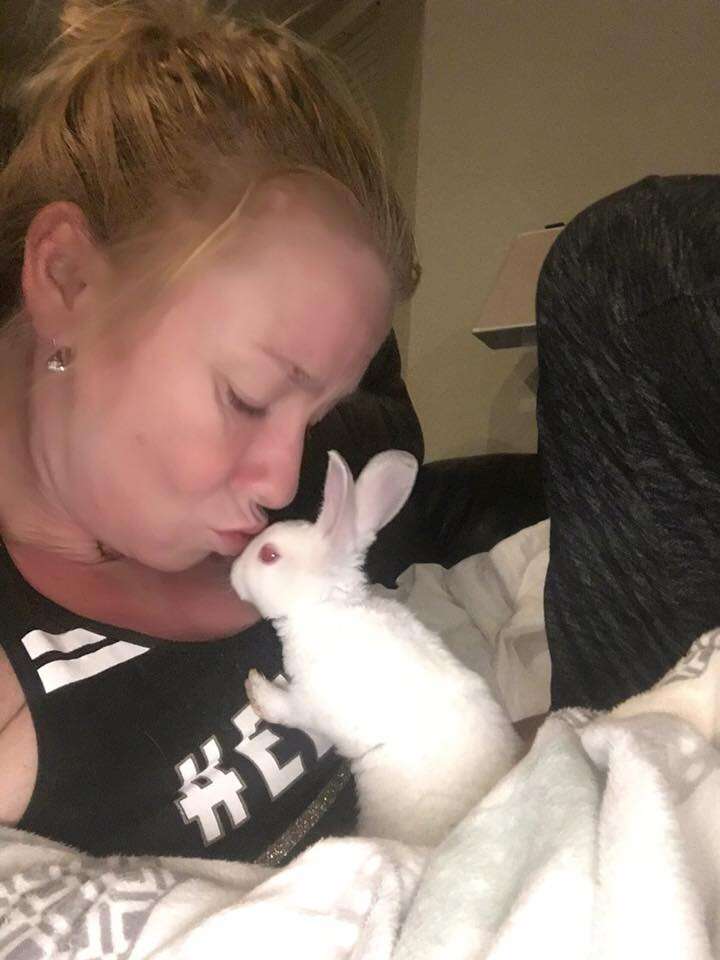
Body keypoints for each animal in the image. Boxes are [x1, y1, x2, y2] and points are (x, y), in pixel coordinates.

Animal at [233, 450, 520, 848]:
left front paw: (256, 688)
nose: (231, 574)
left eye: (269, 555)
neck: (325, 606)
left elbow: (287, 709)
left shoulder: (312, 701)